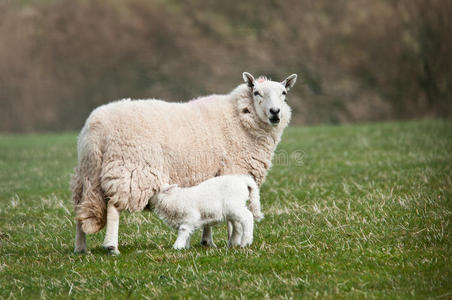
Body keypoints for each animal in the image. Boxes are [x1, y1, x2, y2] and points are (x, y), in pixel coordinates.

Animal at [71, 71, 296, 254]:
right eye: (257, 92)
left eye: (284, 92)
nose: (275, 112)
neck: (240, 118)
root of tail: (97, 128)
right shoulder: (233, 170)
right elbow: (233, 219)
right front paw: (233, 241)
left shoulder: (212, 177)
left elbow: (209, 211)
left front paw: (207, 241)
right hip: (130, 169)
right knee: (113, 207)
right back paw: (111, 246)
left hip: (87, 173)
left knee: (81, 210)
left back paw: (80, 248)